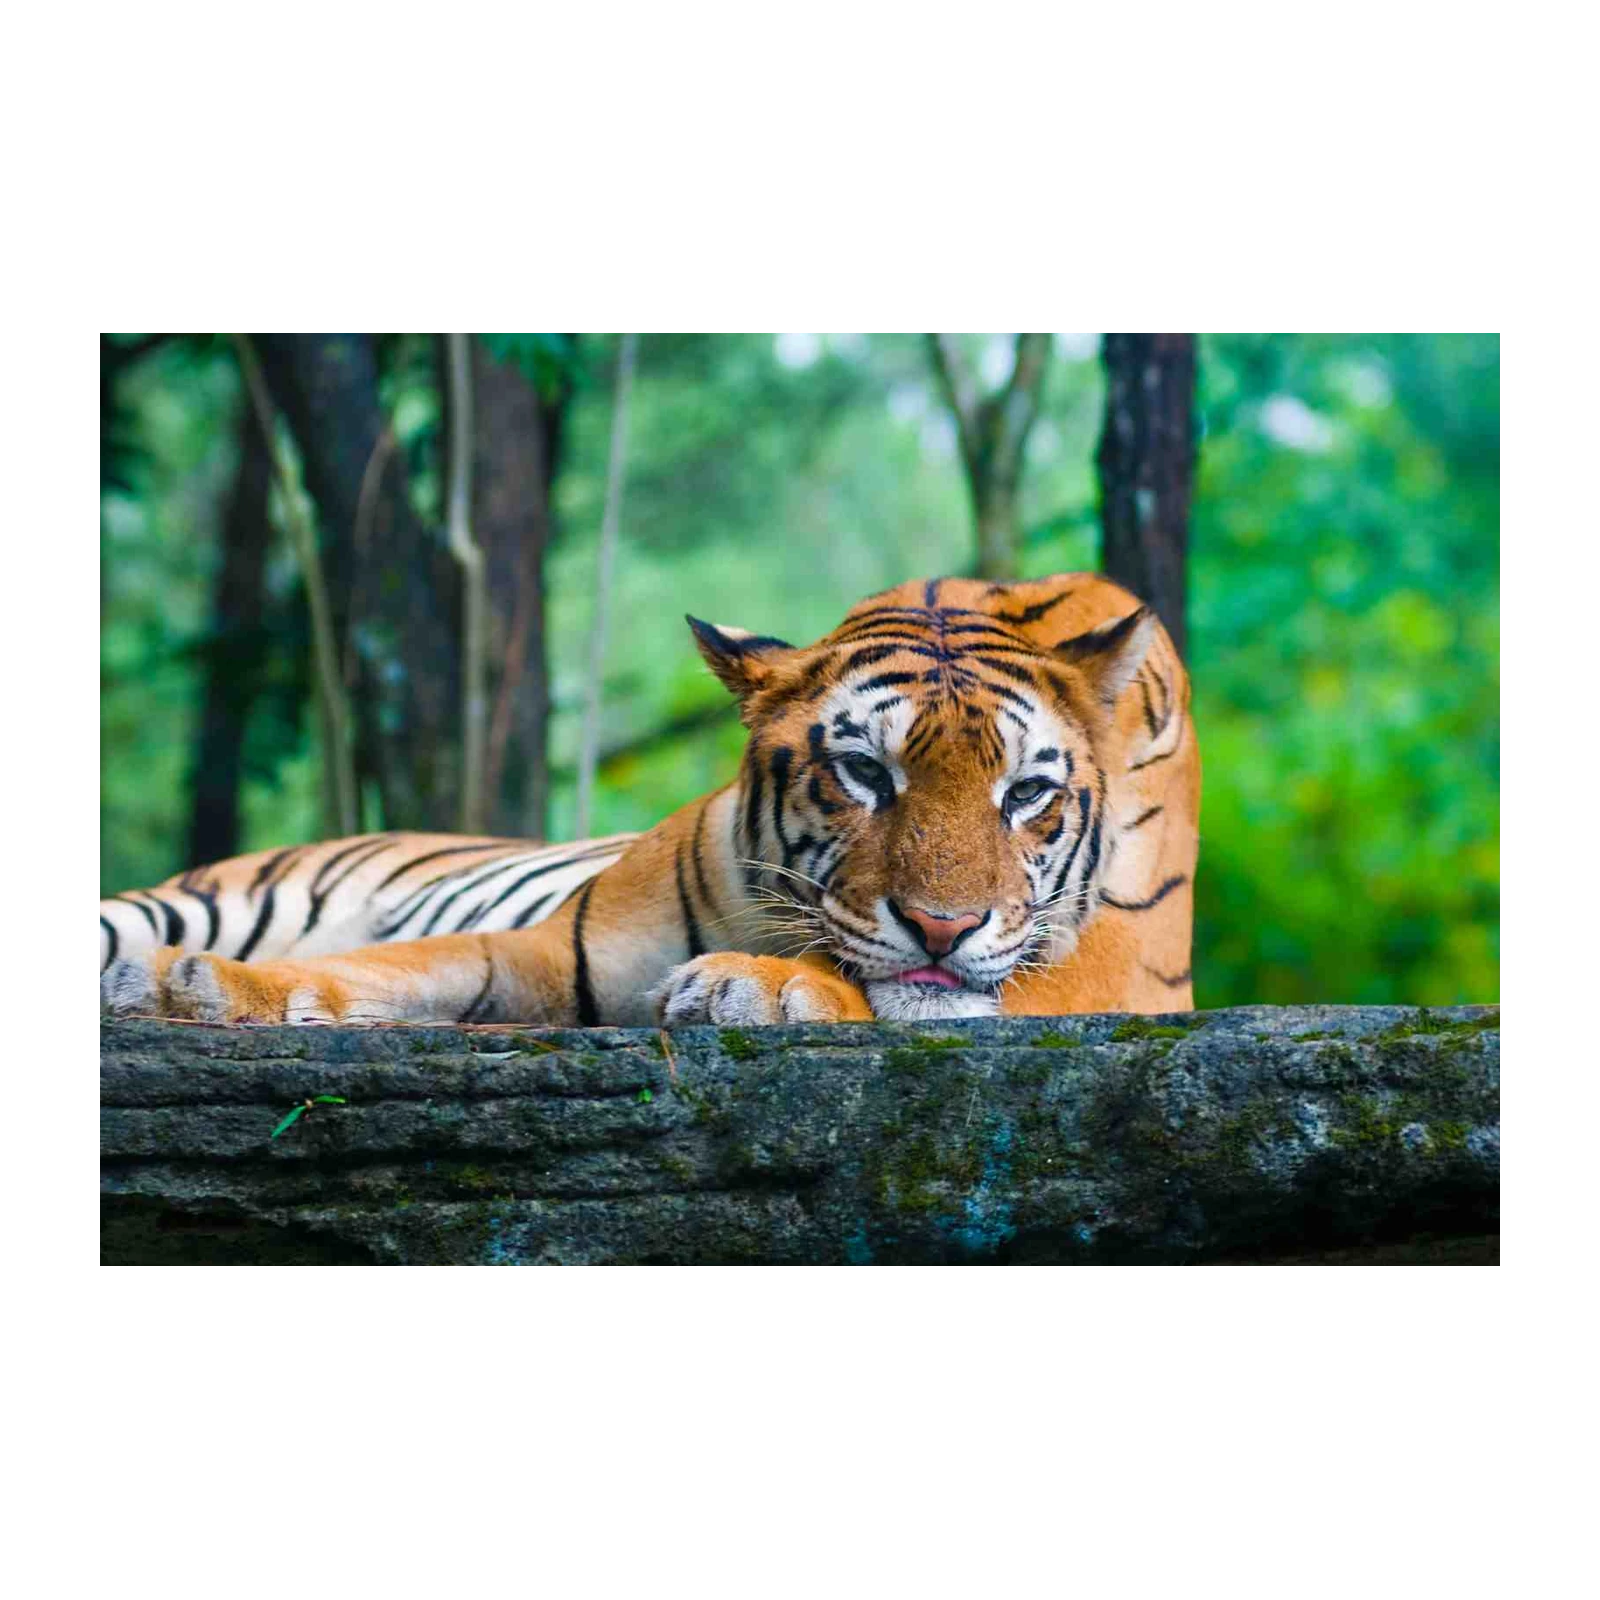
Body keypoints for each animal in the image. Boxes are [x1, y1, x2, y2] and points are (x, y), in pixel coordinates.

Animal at [97, 572, 1198, 1029]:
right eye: (865, 774)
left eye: (1026, 793)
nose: (942, 926)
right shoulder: (545, 951)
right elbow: (384, 964)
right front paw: (192, 987)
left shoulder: (1120, 974)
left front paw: (755, 985)